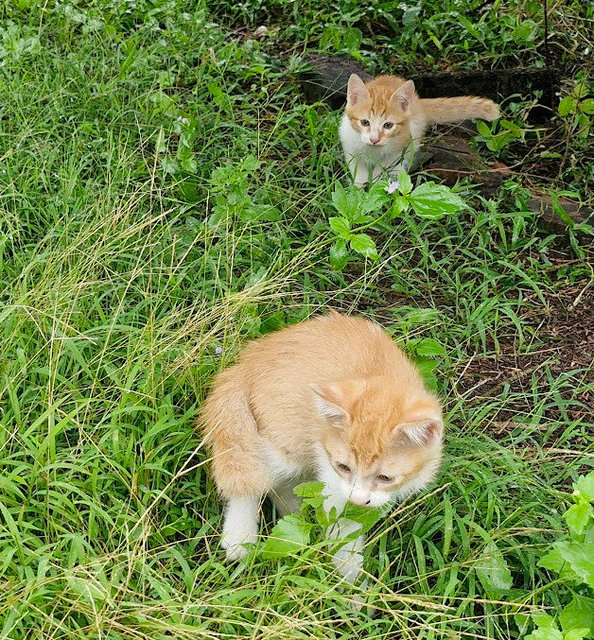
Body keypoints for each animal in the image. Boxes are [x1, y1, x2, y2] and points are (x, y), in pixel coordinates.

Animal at [201, 312, 442, 588]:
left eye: (385, 477)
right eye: (343, 467)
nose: (359, 499)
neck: (380, 375)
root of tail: (243, 365)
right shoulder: (333, 483)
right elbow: (343, 542)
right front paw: (353, 589)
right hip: (284, 440)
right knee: (251, 474)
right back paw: (240, 538)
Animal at [338, 74, 500, 188]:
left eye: (388, 125)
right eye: (365, 122)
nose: (374, 139)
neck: (373, 150)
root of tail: (417, 103)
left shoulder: (399, 149)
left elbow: (385, 168)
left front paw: (376, 185)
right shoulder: (349, 144)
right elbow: (357, 168)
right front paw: (358, 187)